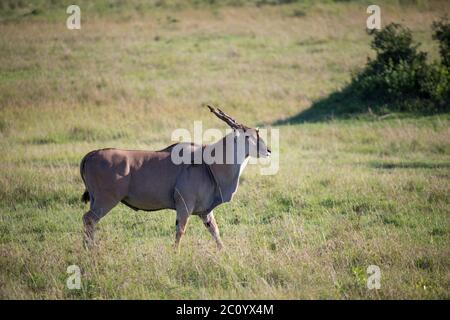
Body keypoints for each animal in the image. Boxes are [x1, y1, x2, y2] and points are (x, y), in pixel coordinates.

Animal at [79, 105, 270, 250]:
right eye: (248, 135)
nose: (268, 151)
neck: (208, 164)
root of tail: (90, 155)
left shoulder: (205, 212)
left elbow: (215, 232)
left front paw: (224, 252)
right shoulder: (184, 206)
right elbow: (180, 231)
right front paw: (175, 254)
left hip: (96, 200)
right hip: (106, 200)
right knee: (88, 219)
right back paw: (90, 250)